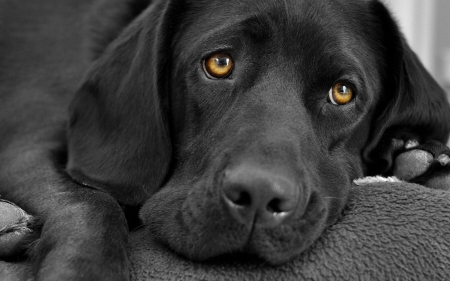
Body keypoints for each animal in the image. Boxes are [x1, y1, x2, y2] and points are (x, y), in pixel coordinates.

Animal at [0, 0, 450, 278]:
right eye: (219, 63)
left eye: (342, 92)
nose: (259, 196)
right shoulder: (27, 145)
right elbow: (92, 203)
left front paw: (418, 156)